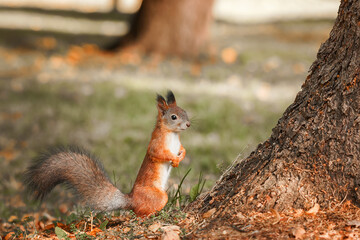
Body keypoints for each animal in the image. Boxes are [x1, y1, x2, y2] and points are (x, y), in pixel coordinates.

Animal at [23, 90, 190, 218]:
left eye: (185, 112)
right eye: (173, 117)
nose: (188, 124)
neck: (173, 134)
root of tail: (131, 200)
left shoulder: (178, 144)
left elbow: (183, 149)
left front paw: (180, 157)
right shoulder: (155, 145)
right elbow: (159, 154)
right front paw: (174, 159)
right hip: (157, 196)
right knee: (140, 212)